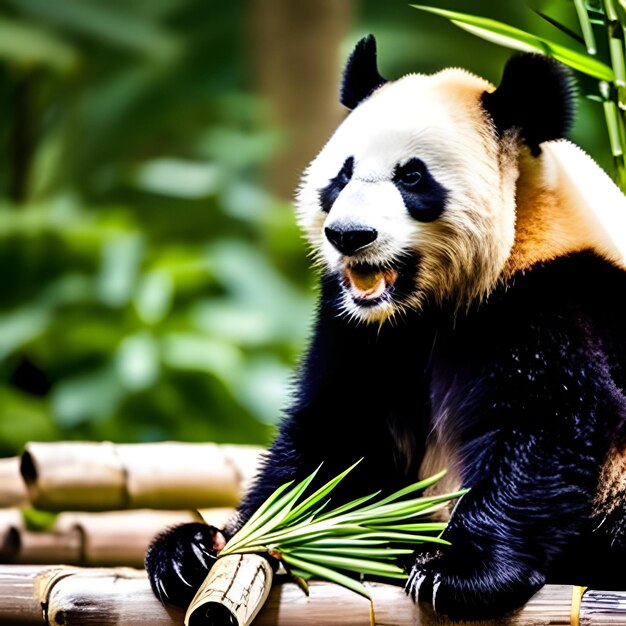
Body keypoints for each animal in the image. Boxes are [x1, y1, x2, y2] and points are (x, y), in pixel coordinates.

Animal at [144, 36, 624, 616]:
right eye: (343, 174)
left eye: (411, 176)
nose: (349, 235)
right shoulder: (362, 327)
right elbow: (335, 433)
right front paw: (209, 546)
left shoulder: (554, 293)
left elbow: (546, 418)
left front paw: (458, 571)